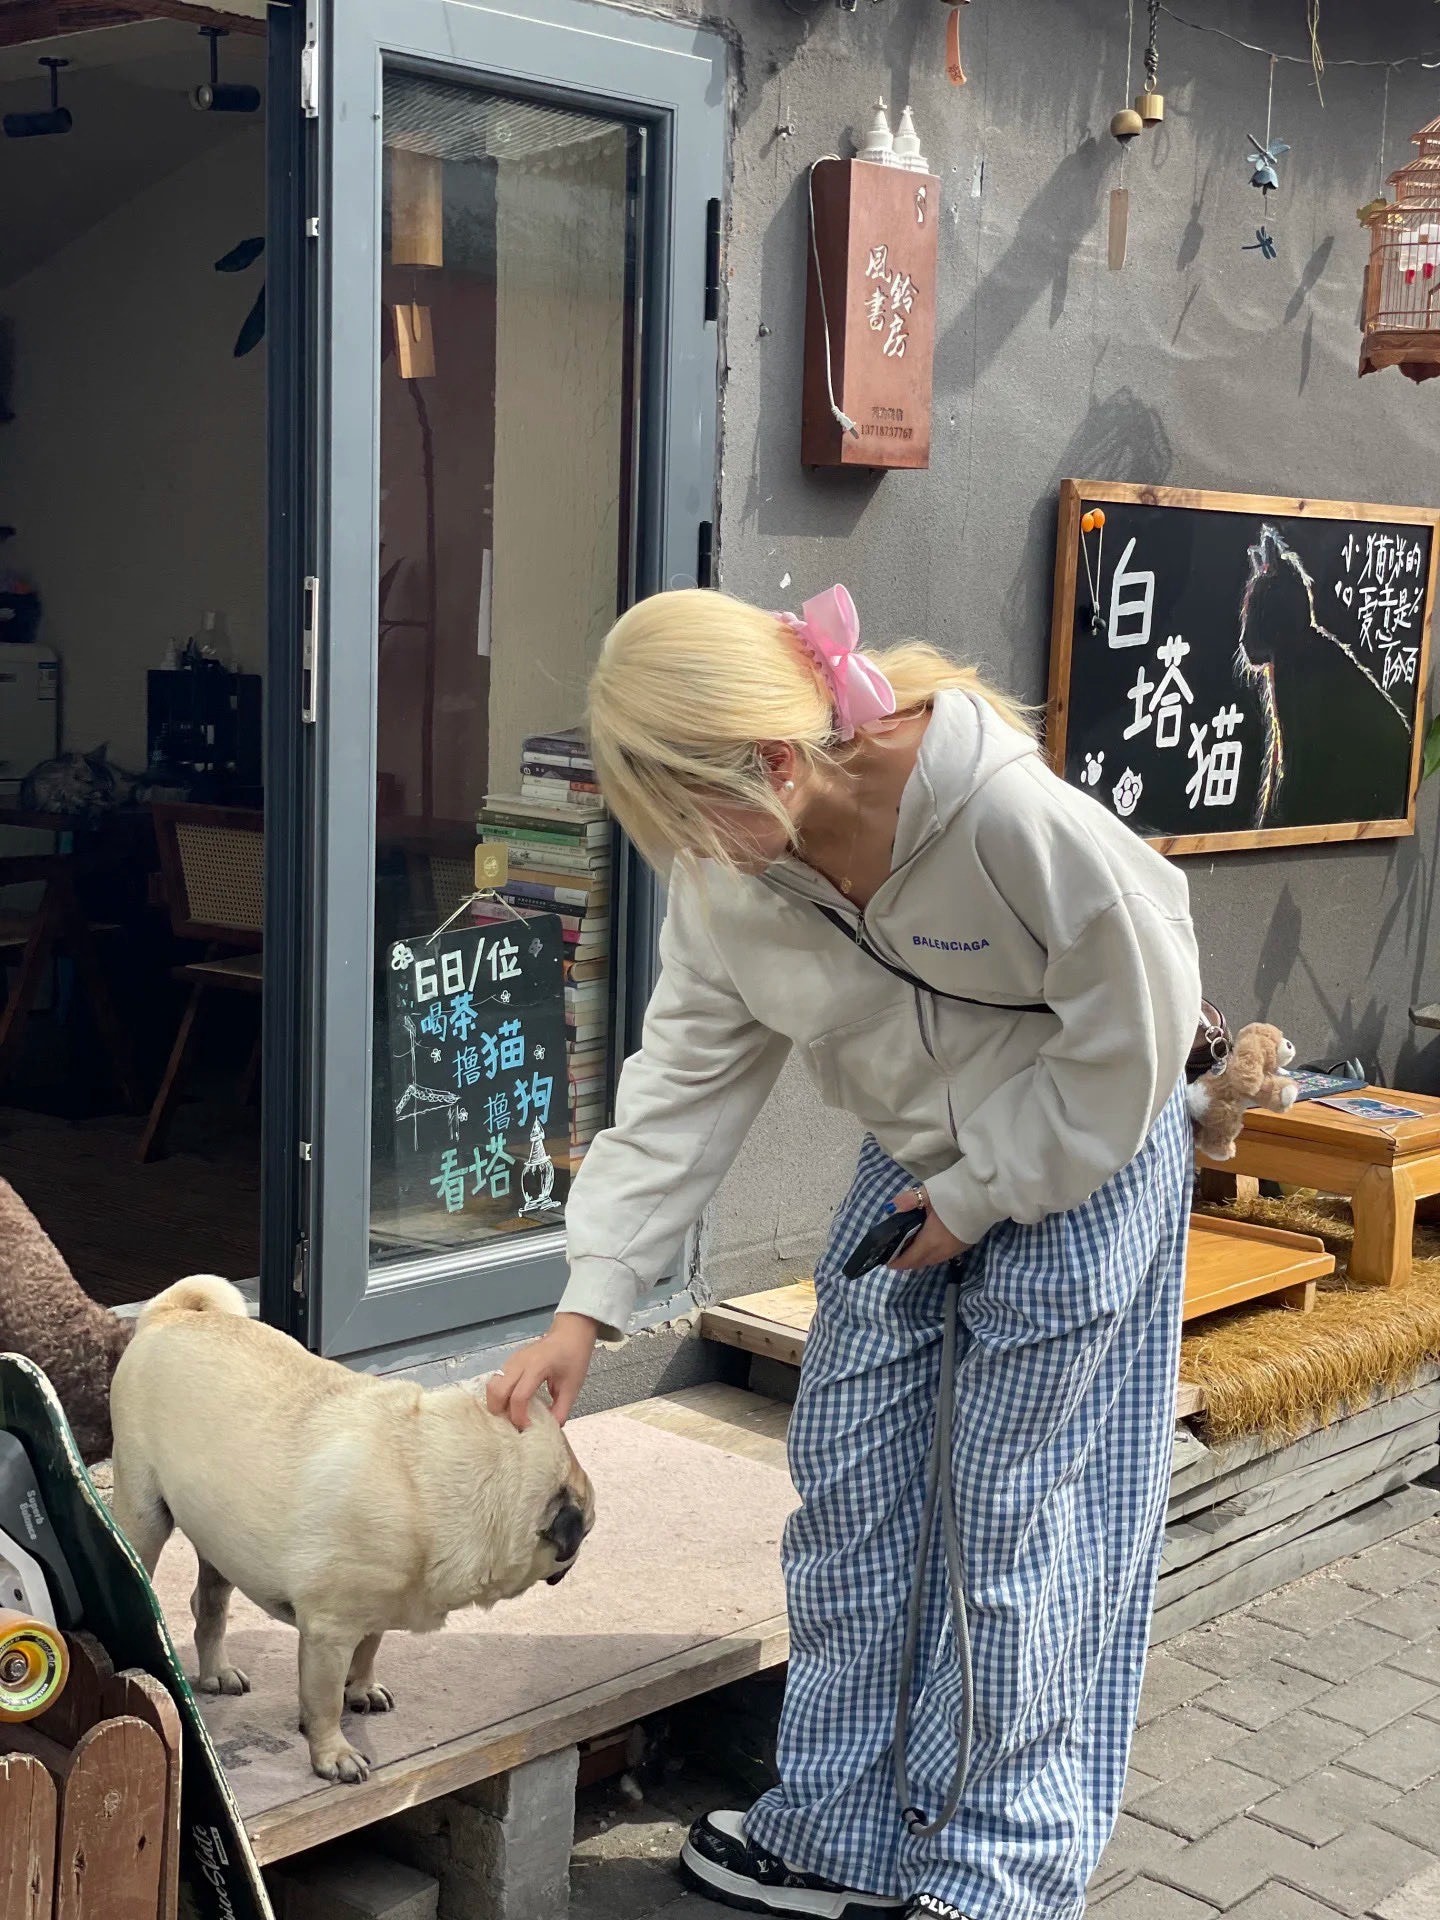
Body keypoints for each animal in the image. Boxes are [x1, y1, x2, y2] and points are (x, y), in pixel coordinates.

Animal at [110, 1276, 594, 1784]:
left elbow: (370, 1649)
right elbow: (323, 1703)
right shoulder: (329, 1632)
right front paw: (332, 1753)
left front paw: (361, 1689)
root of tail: (172, 1313)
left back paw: (216, 1672)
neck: (434, 1479)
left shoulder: (376, 1609)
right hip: (144, 1514)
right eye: (581, 1534)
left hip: (219, 1538)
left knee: (209, 1607)